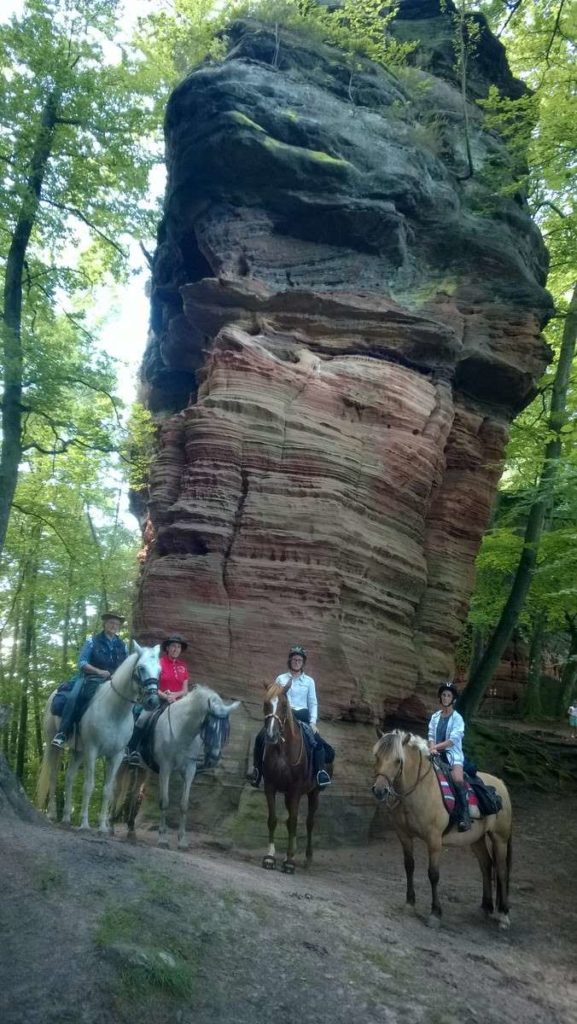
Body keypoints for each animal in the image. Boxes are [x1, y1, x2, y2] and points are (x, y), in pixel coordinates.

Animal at [36, 643, 161, 833]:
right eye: (141, 668)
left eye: (159, 670)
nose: (153, 700)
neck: (115, 711)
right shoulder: (92, 751)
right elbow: (89, 786)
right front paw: (85, 824)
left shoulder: (116, 756)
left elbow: (107, 790)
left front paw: (102, 827)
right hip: (53, 746)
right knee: (53, 776)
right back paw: (51, 814)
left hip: (78, 752)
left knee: (69, 778)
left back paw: (66, 817)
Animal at [112, 685, 240, 849]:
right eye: (210, 726)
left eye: (226, 730)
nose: (213, 759)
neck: (183, 731)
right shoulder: (165, 768)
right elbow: (164, 802)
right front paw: (163, 839)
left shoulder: (190, 770)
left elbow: (184, 805)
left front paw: (182, 841)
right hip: (122, 762)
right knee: (116, 791)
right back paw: (110, 826)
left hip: (142, 768)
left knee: (135, 794)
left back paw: (131, 831)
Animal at [260, 681, 322, 874]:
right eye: (266, 703)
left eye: (283, 705)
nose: (271, 735)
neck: (282, 750)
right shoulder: (270, 786)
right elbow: (273, 820)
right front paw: (270, 857)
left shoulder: (295, 789)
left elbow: (294, 822)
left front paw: (289, 863)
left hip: (314, 793)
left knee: (309, 822)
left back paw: (307, 858)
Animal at [372, 730, 513, 929]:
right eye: (377, 756)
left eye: (398, 760)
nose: (379, 790)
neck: (420, 790)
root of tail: (501, 784)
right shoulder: (404, 835)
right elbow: (409, 866)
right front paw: (410, 904)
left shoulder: (434, 840)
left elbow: (433, 874)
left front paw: (435, 914)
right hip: (476, 839)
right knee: (486, 865)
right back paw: (486, 907)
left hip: (499, 838)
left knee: (501, 871)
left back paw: (503, 915)